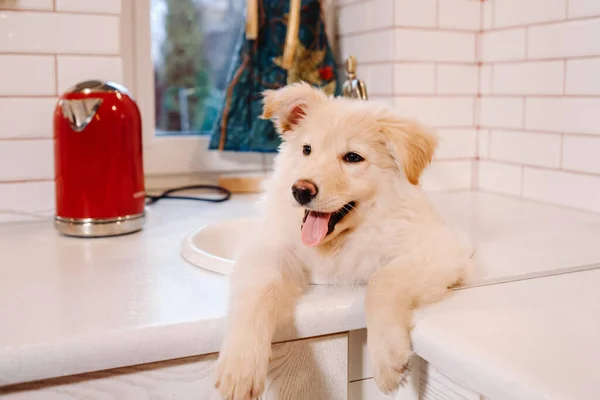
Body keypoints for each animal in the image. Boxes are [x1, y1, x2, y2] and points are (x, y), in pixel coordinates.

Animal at [216, 83, 474, 398]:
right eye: (307, 150)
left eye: (352, 158)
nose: (300, 191)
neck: (336, 244)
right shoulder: (267, 248)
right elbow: (257, 288)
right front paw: (240, 366)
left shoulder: (440, 249)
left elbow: (381, 281)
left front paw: (387, 358)